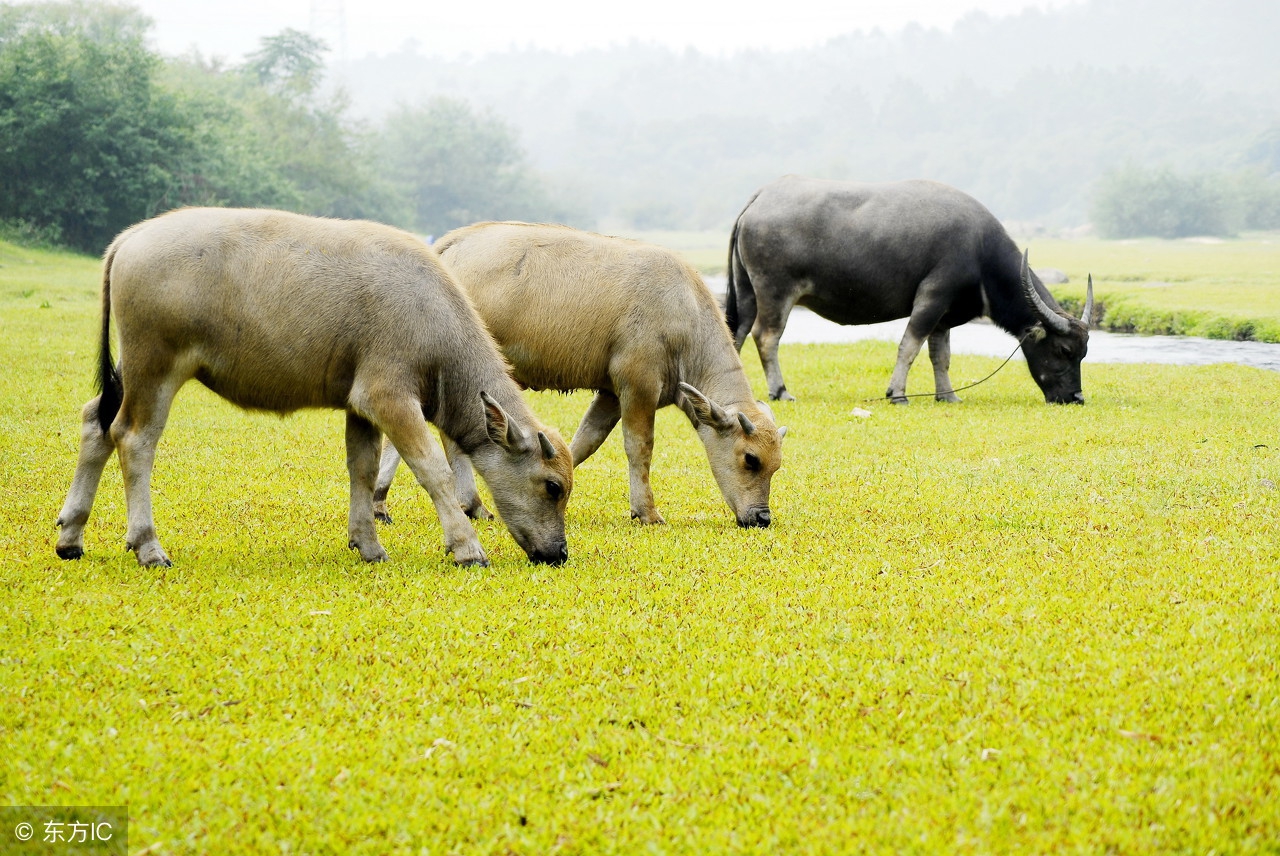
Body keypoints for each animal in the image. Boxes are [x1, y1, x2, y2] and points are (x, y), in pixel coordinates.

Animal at [55, 207, 573, 568]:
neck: (432, 315)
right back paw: (148, 546)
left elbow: (362, 469)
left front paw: (368, 545)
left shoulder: (360, 407)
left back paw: (71, 536)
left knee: (96, 423)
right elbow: (433, 471)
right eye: (552, 487)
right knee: (134, 439)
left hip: (129, 368)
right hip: (155, 366)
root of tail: (132, 237)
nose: (558, 553)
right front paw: (467, 547)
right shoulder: (387, 397)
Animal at [373, 220, 783, 527]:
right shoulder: (638, 385)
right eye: (751, 460)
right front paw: (646, 511)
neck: (683, 311)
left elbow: (584, 443)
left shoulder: (611, 394)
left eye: (776, 466)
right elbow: (639, 447)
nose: (761, 518)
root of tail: (449, 244)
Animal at [727, 176, 1095, 404]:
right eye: (1063, 350)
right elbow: (910, 345)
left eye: (1084, 353)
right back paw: (780, 391)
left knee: (736, 332)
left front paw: (948, 395)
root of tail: (761, 197)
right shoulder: (932, 297)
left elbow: (940, 356)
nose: (1076, 398)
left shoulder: (945, 316)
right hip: (775, 292)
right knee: (766, 336)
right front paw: (898, 393)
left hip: (746, 291)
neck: (980, 252)